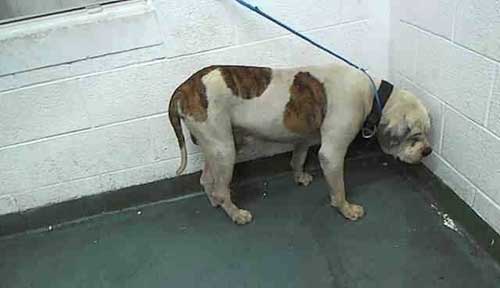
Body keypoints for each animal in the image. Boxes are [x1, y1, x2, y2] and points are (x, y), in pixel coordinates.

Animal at [167, 63, 430, 225]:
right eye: (415, 135)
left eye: (428, 132)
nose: (428, 151)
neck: (373, 95)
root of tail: (184, 87)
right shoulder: (332, 153)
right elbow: (339, 187)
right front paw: (345, 209)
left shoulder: (303, 137)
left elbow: (297, 159)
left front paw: (300, 177)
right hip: (224, 150)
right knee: (222, 188)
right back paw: (236, 214)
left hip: (218, 145)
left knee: (206, 179)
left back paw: (214, 202)